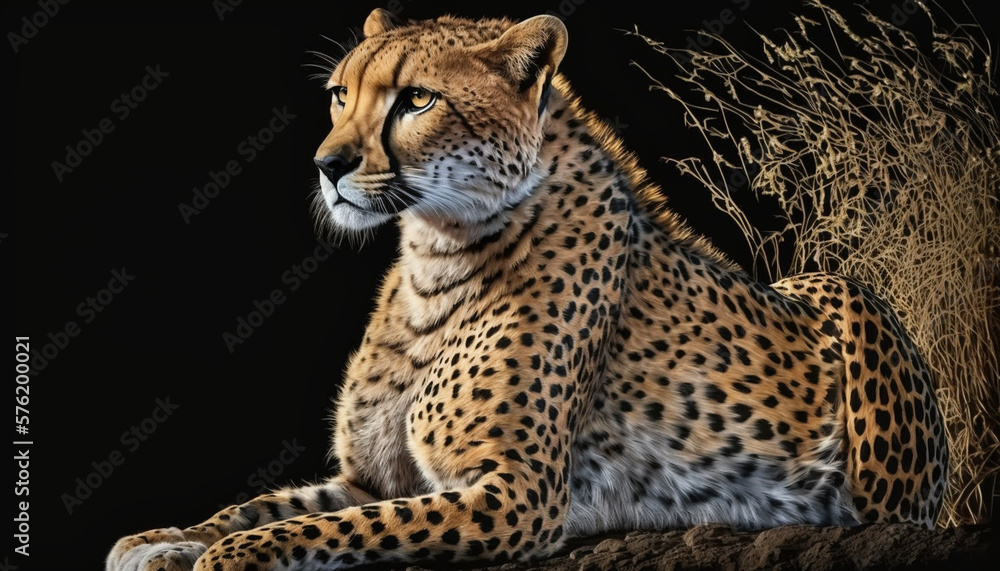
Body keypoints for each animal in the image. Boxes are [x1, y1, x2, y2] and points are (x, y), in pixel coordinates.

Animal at [107, 9, 948, 571]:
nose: (328, 164)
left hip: (850, 320)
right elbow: (267, 505)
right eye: (341, 95)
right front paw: (161, 540)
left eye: (416, 100)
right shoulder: (367, 476)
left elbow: (321, 530)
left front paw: (220, 556)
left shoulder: (518, 497)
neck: (437, 257)